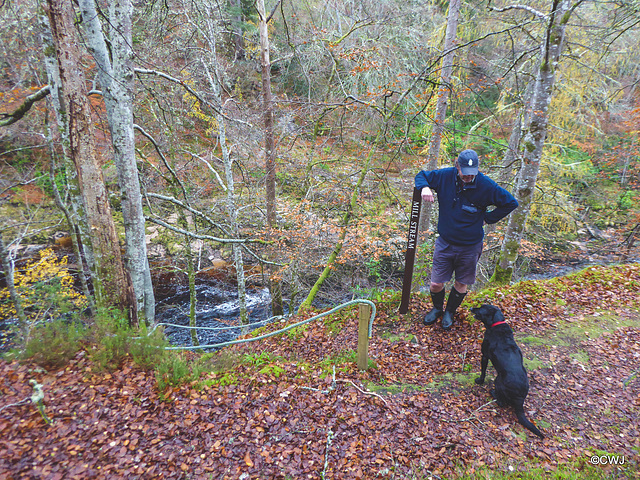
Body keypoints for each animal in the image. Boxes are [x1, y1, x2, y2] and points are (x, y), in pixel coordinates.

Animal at [472, 304, 544, 438]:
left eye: (482, 307)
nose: (472, 308)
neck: (496, 323)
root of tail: (520, 398)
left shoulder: (484, 355)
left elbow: (483, 371)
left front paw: (479, 381)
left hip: (498, 380)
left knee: (501, 402)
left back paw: (493, 393)